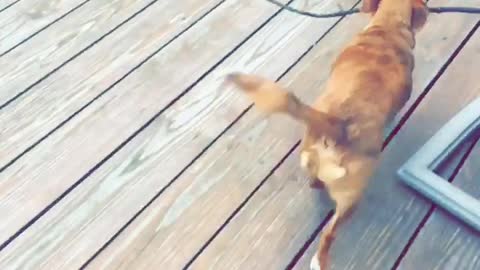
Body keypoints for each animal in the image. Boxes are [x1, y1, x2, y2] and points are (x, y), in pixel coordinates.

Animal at [227, 1, 430, 268]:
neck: (387, 27)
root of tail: (335, 124)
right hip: (351, 198)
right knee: (329, 234)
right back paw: (320, 260)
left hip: (311, 156)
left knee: (315, 183)